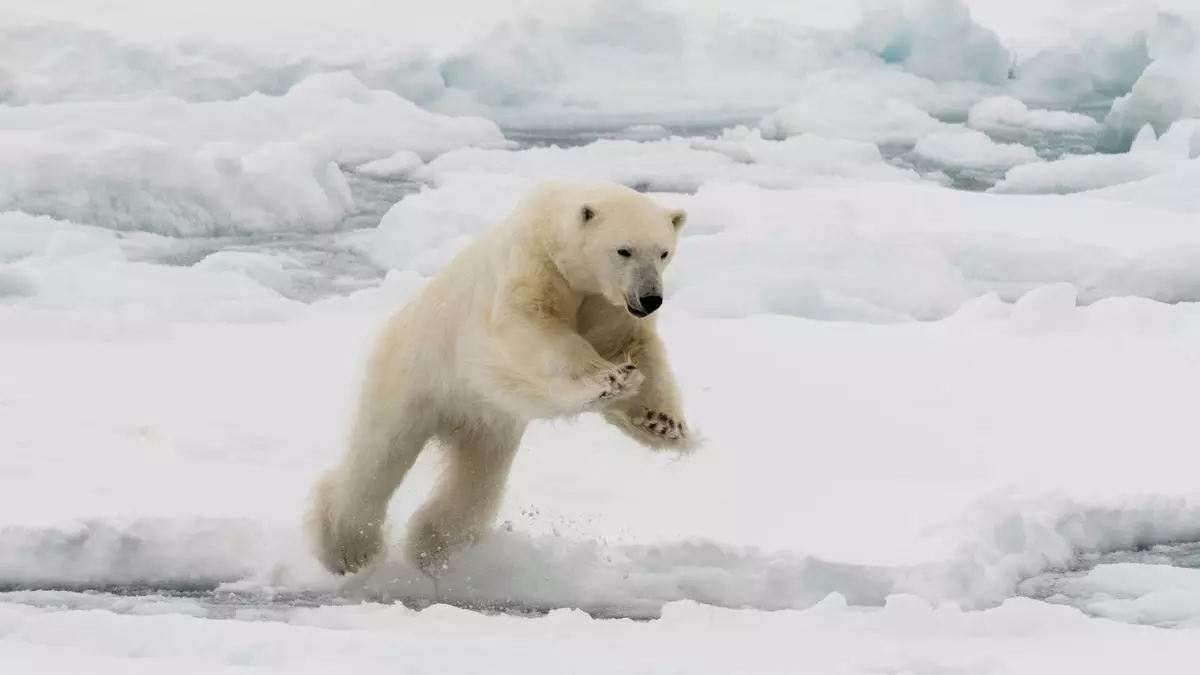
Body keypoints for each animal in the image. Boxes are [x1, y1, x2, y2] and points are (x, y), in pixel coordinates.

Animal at [307, 181, 696, 576]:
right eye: (624, 250)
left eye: (663, 252)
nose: (651, 298)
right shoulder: (532, 268)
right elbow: (531, 331)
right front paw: (610, 380)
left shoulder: (608, 306)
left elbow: (635, 346)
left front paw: (663, 423)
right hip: (412, 375)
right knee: (380, 456)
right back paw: (350, 549)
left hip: (488, 422)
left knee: (477, 478)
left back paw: (430, 544)